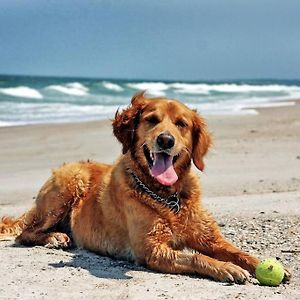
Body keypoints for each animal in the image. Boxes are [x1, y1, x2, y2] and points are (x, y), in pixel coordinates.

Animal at [0, 93, 290, 284]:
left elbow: (237, 251)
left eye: (181, 124)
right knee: (25, 233)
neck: (168, 197)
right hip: (69, 184)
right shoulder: (151, 249)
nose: (165, 140)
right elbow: (195, 258)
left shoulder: (210, 239)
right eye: (152, 120)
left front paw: (262, 263)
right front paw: (226, 268)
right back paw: (54, 238)